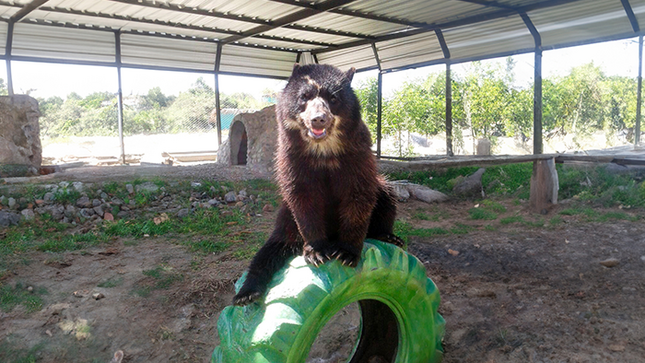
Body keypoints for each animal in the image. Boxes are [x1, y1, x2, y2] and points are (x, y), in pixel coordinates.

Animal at [231, 63, 402, 308]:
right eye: (305, 97)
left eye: (333, 98)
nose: (318, 119)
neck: (323, 151)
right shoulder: (292, 159)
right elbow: (303, 200)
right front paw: (317, 252)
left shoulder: (357, 156)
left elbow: (358, 195)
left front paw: (346, 253)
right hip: (286, 218)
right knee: (270, 250)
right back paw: (246, 294)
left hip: (382, 189)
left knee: (387, 196)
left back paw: (388, 236)